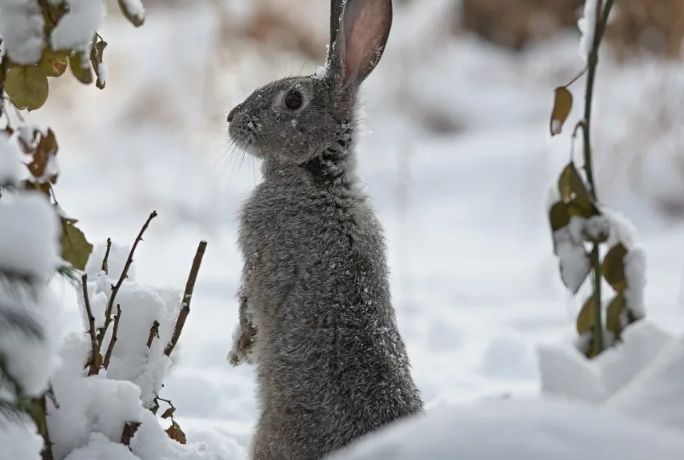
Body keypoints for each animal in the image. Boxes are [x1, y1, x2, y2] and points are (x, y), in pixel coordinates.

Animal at [226, 0, 424, 458]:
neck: (318, 178)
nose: (230, 118)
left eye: (293, 100)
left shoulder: (260, 253)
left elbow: (248, 302)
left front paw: (240, 350)